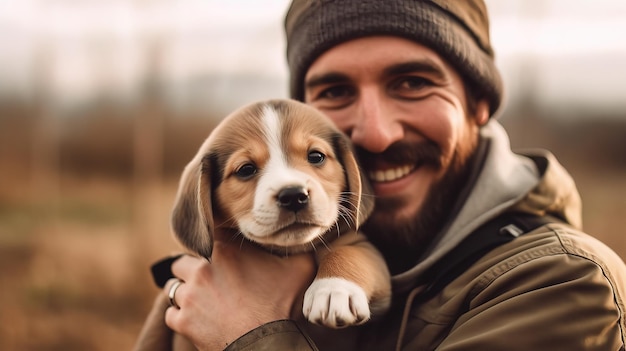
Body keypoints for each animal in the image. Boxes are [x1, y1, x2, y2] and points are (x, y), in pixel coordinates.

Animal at [172, 99, 390, 330]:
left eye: (316, 156)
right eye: (245, 169)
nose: (294, 196)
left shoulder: (363, 248)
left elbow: (346, 253)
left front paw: (333, 290)